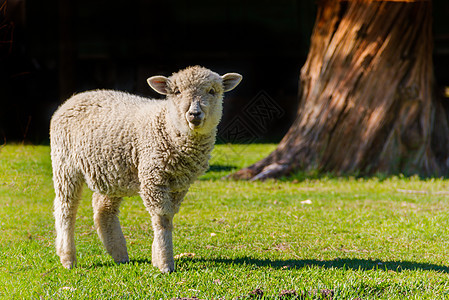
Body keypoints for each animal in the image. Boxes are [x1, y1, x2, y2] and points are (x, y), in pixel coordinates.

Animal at [50, 65, 242, 272]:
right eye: (177, 92)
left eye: (212, 91)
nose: (194, 114)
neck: (168, 125)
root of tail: (74, 98)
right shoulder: (153, 177)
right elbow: (162, 218)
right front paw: (165, 263)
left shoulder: (179, 185)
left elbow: (168, 218)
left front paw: (157, 256)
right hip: (65, 163)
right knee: (65, 209)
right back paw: (68, 258)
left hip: (112, 171)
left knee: (103, 209)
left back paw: (119, 254)